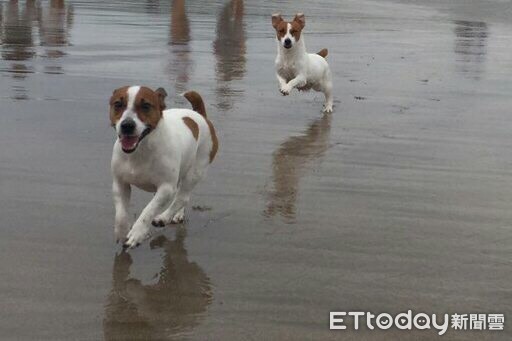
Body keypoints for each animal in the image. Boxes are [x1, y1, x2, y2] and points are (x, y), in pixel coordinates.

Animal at [110, 86, 218, 248]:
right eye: (118, 104)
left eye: (146, 106)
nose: (127, 125)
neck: (141, 149)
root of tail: (200, 115)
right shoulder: (120, 183)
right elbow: (121, 213)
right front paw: (122, 231)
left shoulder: (166, 187)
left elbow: (148, 211)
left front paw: (137, 232)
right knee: (181, 195)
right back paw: (177, 214)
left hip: (195, 171)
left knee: (182, 197)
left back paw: (164, 217)